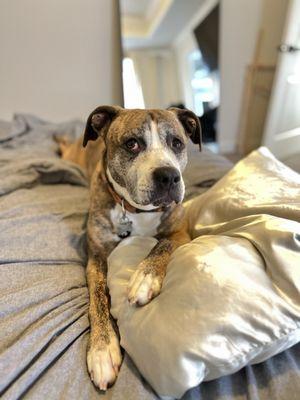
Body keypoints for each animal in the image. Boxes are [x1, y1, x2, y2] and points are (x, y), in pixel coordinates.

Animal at [58, 105, 202, 390]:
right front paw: (102, 350)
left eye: (177, 143)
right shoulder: (96, 258)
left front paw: (144, 278)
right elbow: (98, 299)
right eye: (132, 144)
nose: (169, 176)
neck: (137, 212)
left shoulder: (181, 233)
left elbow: (162, 246)